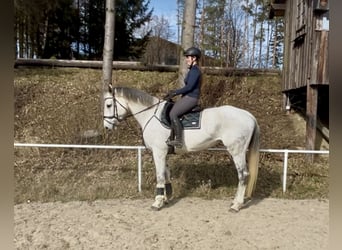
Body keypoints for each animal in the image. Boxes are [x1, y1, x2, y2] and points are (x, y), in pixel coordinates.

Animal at [103, 87, 260, 212]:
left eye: (109, 105)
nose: (107, 126)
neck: (150, 115)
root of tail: (248, 115)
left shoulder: (158, 152)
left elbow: (160, 176)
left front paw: (157, 202)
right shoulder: (164, 153)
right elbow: (166, 174)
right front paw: (166, 198)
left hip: (237, 151)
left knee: (243, 175)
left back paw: (236, 205)